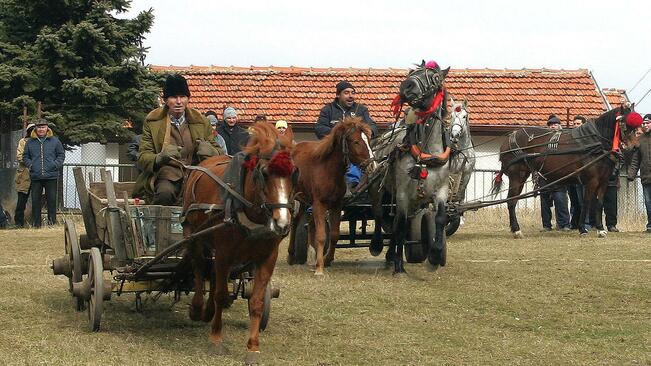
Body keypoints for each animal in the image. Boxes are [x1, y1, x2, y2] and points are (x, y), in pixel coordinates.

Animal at [182, 122, 296, 364]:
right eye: (264, 173)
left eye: (294, 173)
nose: (282, 223)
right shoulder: (224, 253)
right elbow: (220, 294)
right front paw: (216, 339)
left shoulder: (267, 258)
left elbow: (256, 302)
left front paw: (252, 347)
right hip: (195, 236)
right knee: (199, 269)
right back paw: (197, 308)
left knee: (212, 274)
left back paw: (207, 310)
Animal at [288, 117, 374, 274]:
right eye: (356, 141)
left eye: (368, 139)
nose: (372, 165)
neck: (328, 170)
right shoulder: (319, 204)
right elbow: (322, 236)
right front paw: (319, 269)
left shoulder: (336, 205)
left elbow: (334, 234)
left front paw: (326, 260)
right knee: (294, 222)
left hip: (305, 201)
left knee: (301, 223)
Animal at [370, 60, 450, 274]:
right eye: (412, 72)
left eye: (435, 77)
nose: (406, 86)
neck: (426, 155)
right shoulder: (403, 194)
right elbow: (400, 226)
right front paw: (399, 265)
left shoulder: (441, 191)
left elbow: (439, 218)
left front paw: (435, 255)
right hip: (381, 189)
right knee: (380, 214)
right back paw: (378, 246)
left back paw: (390, 255)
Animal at [494, 105, 640, 237]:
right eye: (624, 125)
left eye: (636, 128)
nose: (635, 147)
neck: (595, 144)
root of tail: (509, 138)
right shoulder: (591, 181)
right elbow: (586, 203)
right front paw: (582, 229)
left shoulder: (603, 181)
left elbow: (599, 204)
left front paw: (600, 229)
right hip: (517, 176)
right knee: (511, 201)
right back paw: (516, 229)